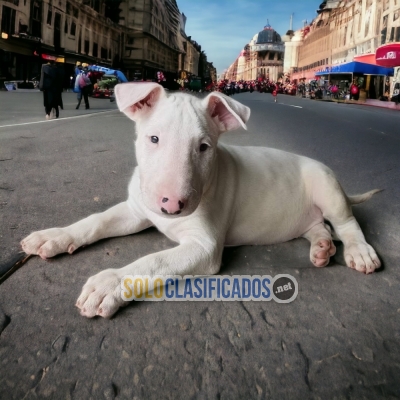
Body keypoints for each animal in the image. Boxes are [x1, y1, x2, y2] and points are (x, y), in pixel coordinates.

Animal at [21, 83, 382, 318]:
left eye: (204, 147)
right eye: (153, 138)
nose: (171, 206)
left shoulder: (204, 246)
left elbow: (153, 261)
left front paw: (108, 285)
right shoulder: (137, 210)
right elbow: (96, 221)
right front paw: (54, 237)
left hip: (326, 185)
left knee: (347, 224)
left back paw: (359, 252)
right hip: (306, 216)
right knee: (319, 226)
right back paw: (321, 248)